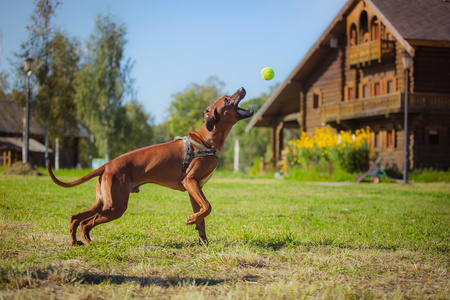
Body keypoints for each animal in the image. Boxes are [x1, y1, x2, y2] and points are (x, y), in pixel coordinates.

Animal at [49, 86, 255, 246]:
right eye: (227, 99)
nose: (242, 88)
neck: (206, 140)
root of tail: (107, 164)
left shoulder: (195, 188)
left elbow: (202, 214)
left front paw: (203, 241)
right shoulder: (190, 181)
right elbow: (208, 207)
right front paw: (192, 221)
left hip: (103, 202)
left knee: (75, 217)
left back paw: (75, 241)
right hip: (116, 206)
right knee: (86, 223)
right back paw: (89, 243)